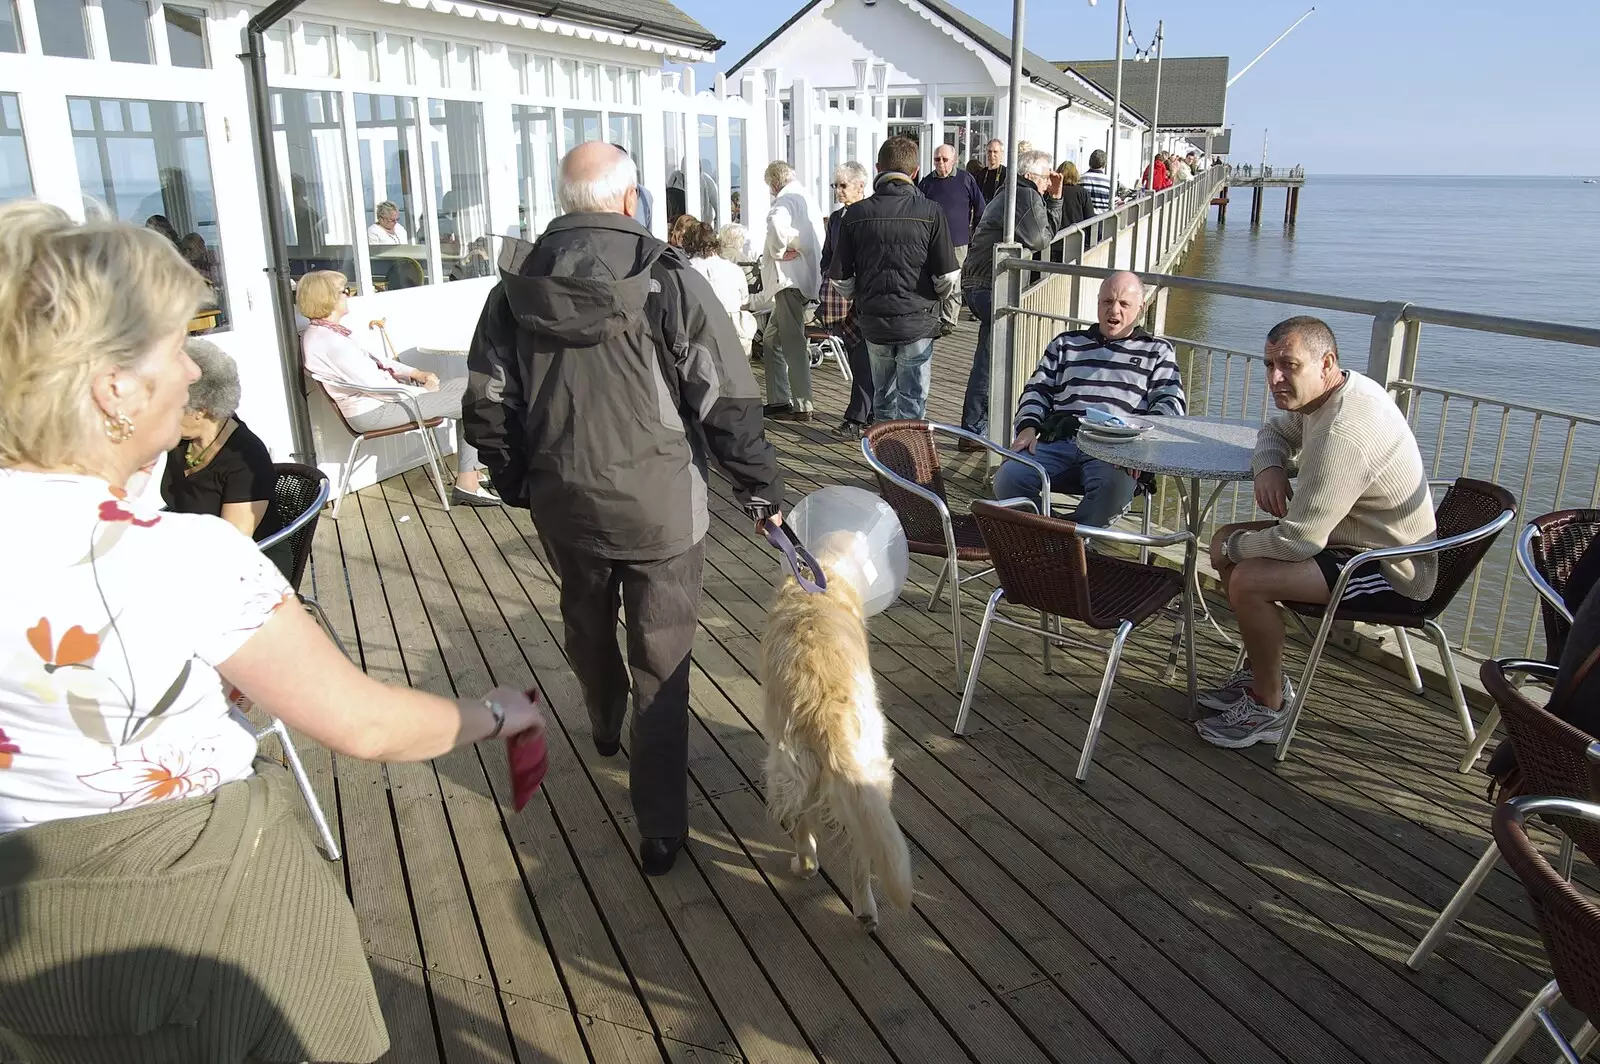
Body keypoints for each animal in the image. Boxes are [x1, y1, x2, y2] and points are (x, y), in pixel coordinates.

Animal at [761, 528, 915, 928]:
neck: (820, 581)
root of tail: (826, 713)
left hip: (788, 771)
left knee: (804, 831)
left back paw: (804, 865)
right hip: (870, 778)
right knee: (862, 854)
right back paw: (866, 910)